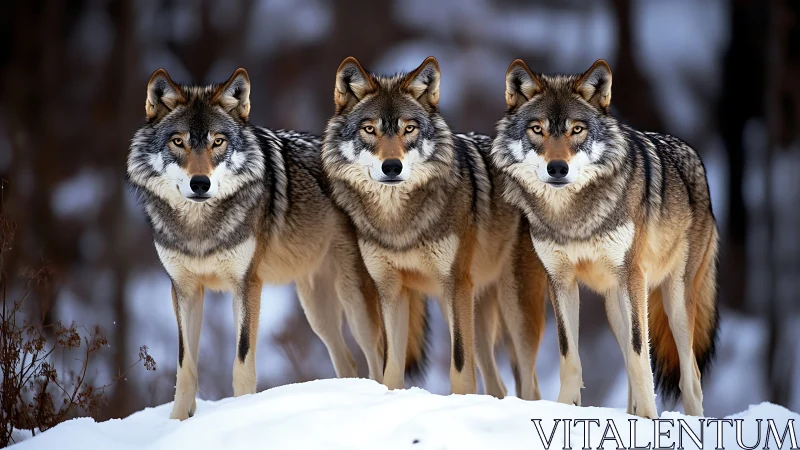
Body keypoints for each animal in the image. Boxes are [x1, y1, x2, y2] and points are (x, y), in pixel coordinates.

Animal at [127, 68, 428, 420]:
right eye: (178, 141)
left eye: (218, 142)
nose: (200, 184)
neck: (200, 228)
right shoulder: (184, 290)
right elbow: (185, 369)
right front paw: (177, 422)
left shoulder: (247, 285)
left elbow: (242, 361)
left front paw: (241, 413)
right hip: (317, 310)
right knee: (348, 362)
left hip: (356, 304)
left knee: (378, 358)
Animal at [322, 56, 548, 399]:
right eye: (369, 129)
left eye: (409, 128)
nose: (392, 167)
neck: (399, 222)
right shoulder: (390, 289)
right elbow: (391, 368)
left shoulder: (454, 285)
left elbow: (459, 365)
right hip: (472, 307)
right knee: (497, 385)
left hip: (512, 307)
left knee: (530, 386)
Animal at [492, 59, 719, 417]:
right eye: (537, 129)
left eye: (577, 129)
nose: (558, 168)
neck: (572, 217)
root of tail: (695, 157)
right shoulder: (560, 281)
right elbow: (569, 355)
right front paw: (563, 409)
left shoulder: (632, 276)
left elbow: (642, 355)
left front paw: (650, 419)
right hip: (615, 306)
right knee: (627, 360)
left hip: (674, 301)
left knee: (690, 376)